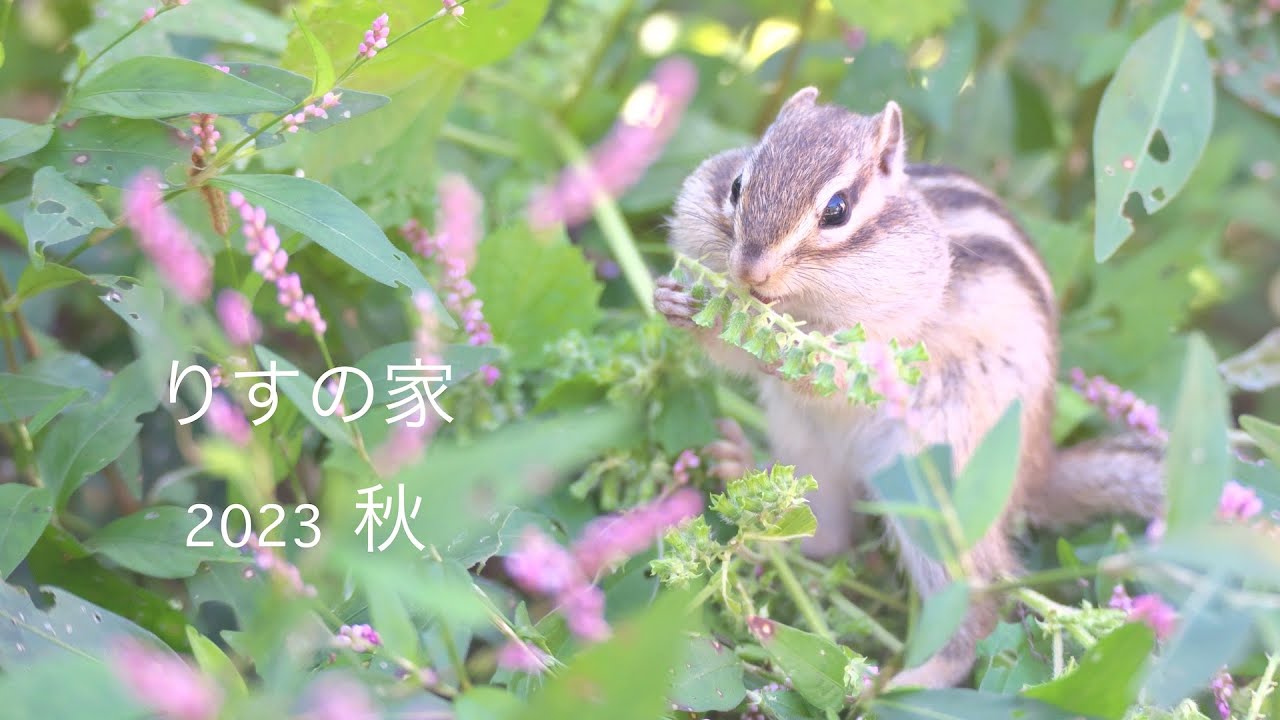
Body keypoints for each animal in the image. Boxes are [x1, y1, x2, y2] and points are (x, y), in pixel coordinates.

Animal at [654, 87, 1167, 689]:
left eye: (837, 209)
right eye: (736, 185)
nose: (749, 271)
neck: (805, 306)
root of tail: (1038, 469)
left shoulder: (897, 331)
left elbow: (852, 369)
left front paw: (803, 357)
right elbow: (735, 351)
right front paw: (676, 303)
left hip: (941, 485)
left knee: (977, 601)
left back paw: (905, 681)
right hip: (806, 450)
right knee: (827, 535)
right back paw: (741, 468)